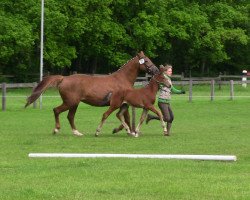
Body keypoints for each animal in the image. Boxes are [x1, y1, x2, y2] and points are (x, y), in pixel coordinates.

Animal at [24, 51, 158, 136]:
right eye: (146, 60)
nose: (156, 70)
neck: (122, 79)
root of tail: (64, 78)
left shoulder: (123, 104)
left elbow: (125, 118)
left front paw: (123, 130)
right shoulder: (121, 103)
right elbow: (127, 118)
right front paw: (126, 131)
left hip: (74, 104)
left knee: (70, 116)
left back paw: (77, 132)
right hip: (70, 102)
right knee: (57, 110)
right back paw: (56, 129)